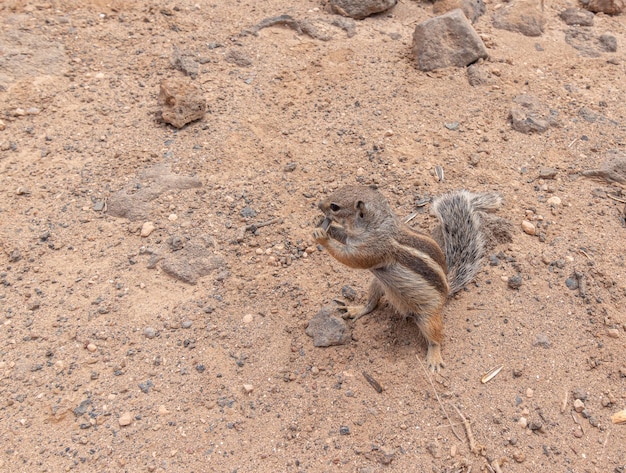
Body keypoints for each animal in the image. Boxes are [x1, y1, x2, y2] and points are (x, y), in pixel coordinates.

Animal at [312, 186, 502, 370]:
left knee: (436, 337)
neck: (376, 225)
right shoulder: (354, 239)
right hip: (377, 283)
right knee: (372, 303)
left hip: (428, 316)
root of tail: (447, 291)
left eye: (335, 207)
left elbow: (350, 259)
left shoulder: (374, 249)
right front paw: (321, 224)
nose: (319, 205)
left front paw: (322, 237)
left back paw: (434, 356)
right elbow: (344, 237)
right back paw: (357, 309)